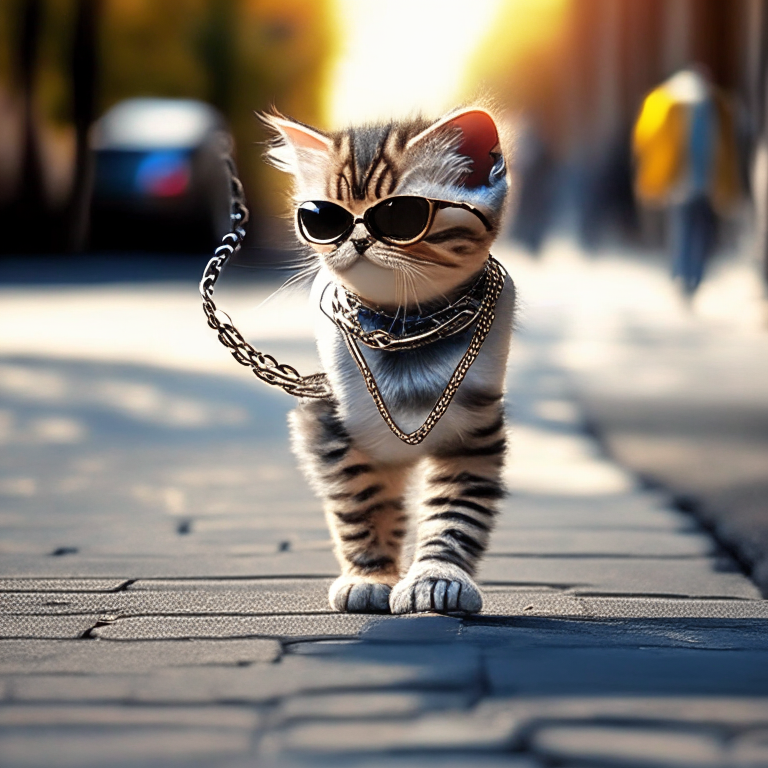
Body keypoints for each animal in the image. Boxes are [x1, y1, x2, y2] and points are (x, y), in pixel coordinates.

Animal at [260, 106, 516, 612]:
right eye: (323, 218)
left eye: (400, 214)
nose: (357, 237)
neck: (403, 328)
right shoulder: (328, 422)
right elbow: (361, 503)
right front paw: (370, 575)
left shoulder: (475, 433)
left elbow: (456, 512)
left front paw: (437, 575)